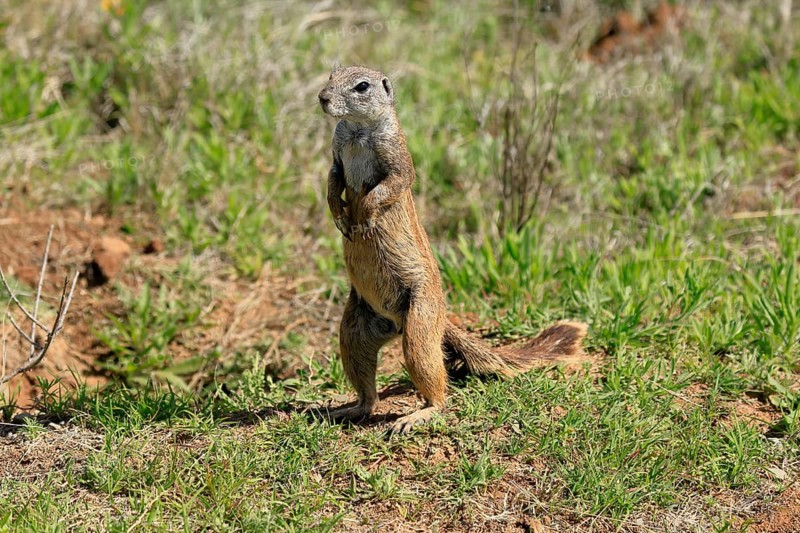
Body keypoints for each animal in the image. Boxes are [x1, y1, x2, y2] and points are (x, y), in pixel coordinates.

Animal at [318, 65, 588, 433]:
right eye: (332, 75)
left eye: (362, 86)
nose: (323, 97)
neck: (358, 131)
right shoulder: (336, 152)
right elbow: (333, 180)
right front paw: (340, 217)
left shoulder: (397, 156)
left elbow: (392, 183)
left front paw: (366, 219)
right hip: (354, 331)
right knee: (367, 391)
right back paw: (348, 409)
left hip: (420, 322)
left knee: (435, 383)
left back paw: (418, 415)